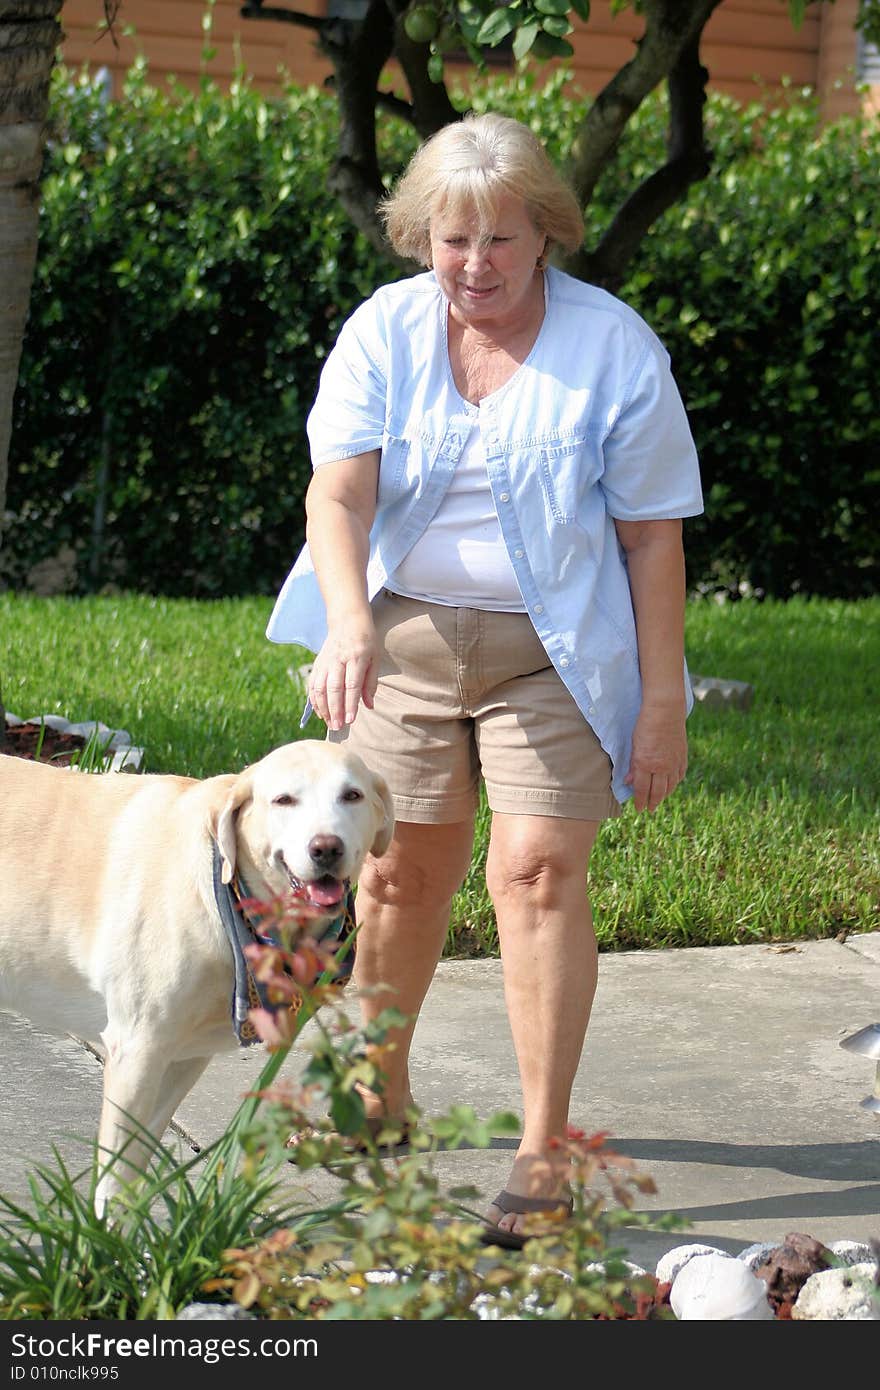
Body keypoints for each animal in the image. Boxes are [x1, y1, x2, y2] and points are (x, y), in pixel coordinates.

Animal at [0, 745, 392, 1212]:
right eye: (283, 800)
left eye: (352, 795)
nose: (326, 848)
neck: (221, 889)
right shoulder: (136, 1051)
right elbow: (113, 1183)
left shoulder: (181, 1059)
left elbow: (134, 1174)